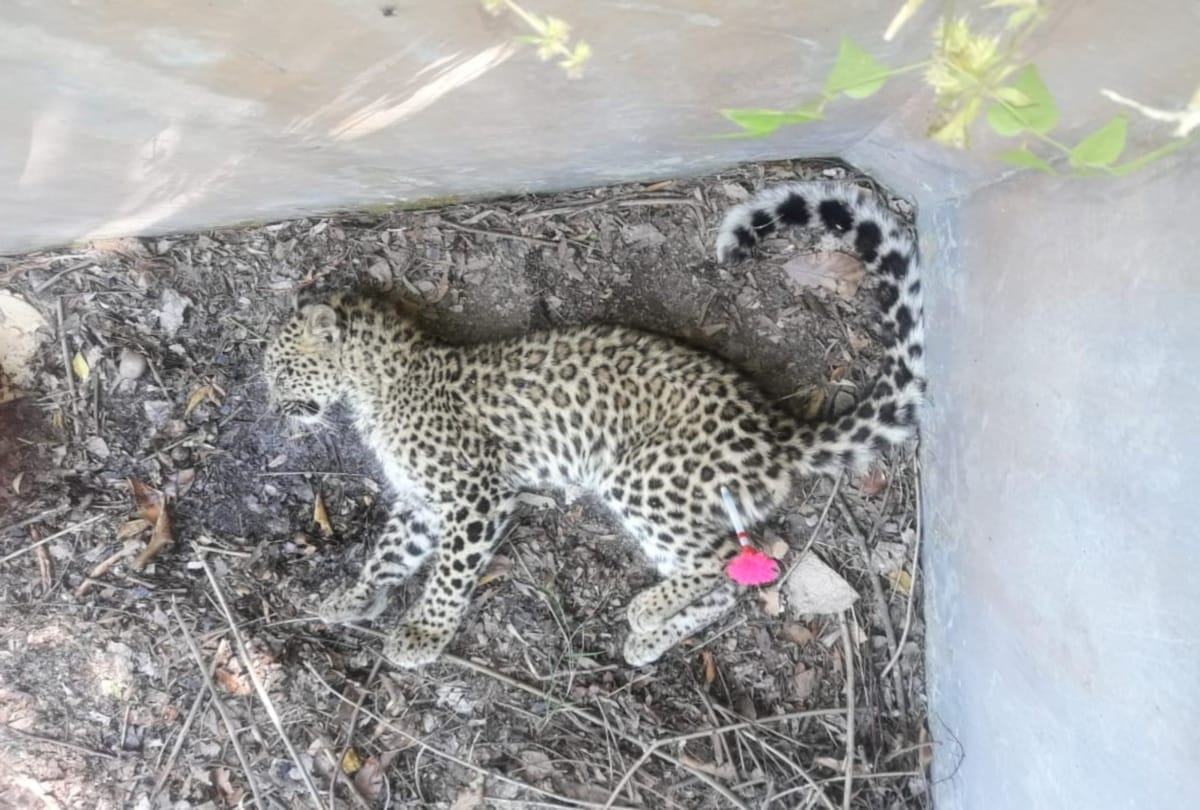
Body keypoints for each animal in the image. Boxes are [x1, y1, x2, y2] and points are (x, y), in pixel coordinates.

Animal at [263, 181, 925, 669]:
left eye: (279, 370)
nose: (270, 405)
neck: (381, 383)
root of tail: (775, 429)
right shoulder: (423, 503)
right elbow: (388, 553)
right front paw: (353, 597)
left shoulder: (475, 495)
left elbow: (449, 572)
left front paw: (424, 634)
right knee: (732, 579)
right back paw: (648, 637)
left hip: (644, 476)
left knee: (720, 558)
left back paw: (646, 609)